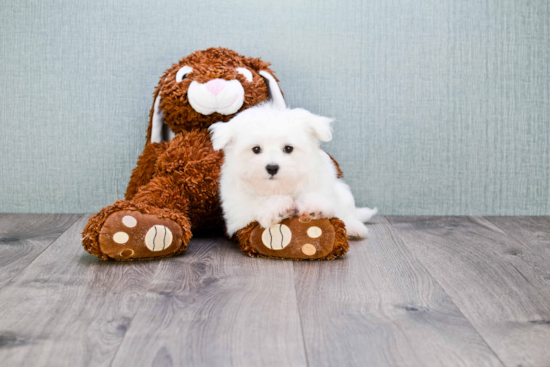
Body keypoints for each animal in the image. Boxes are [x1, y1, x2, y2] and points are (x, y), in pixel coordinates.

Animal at [209, 103, 378, 239]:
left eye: (288, 148)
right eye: (256, 149)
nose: (272, 167)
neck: (280, 187)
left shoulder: (323, 186)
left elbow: (322, 200)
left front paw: (313, 207)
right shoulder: (237, 214)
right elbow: (256, 205)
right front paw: (277, 206)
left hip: (343, 192)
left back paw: (354, 227)